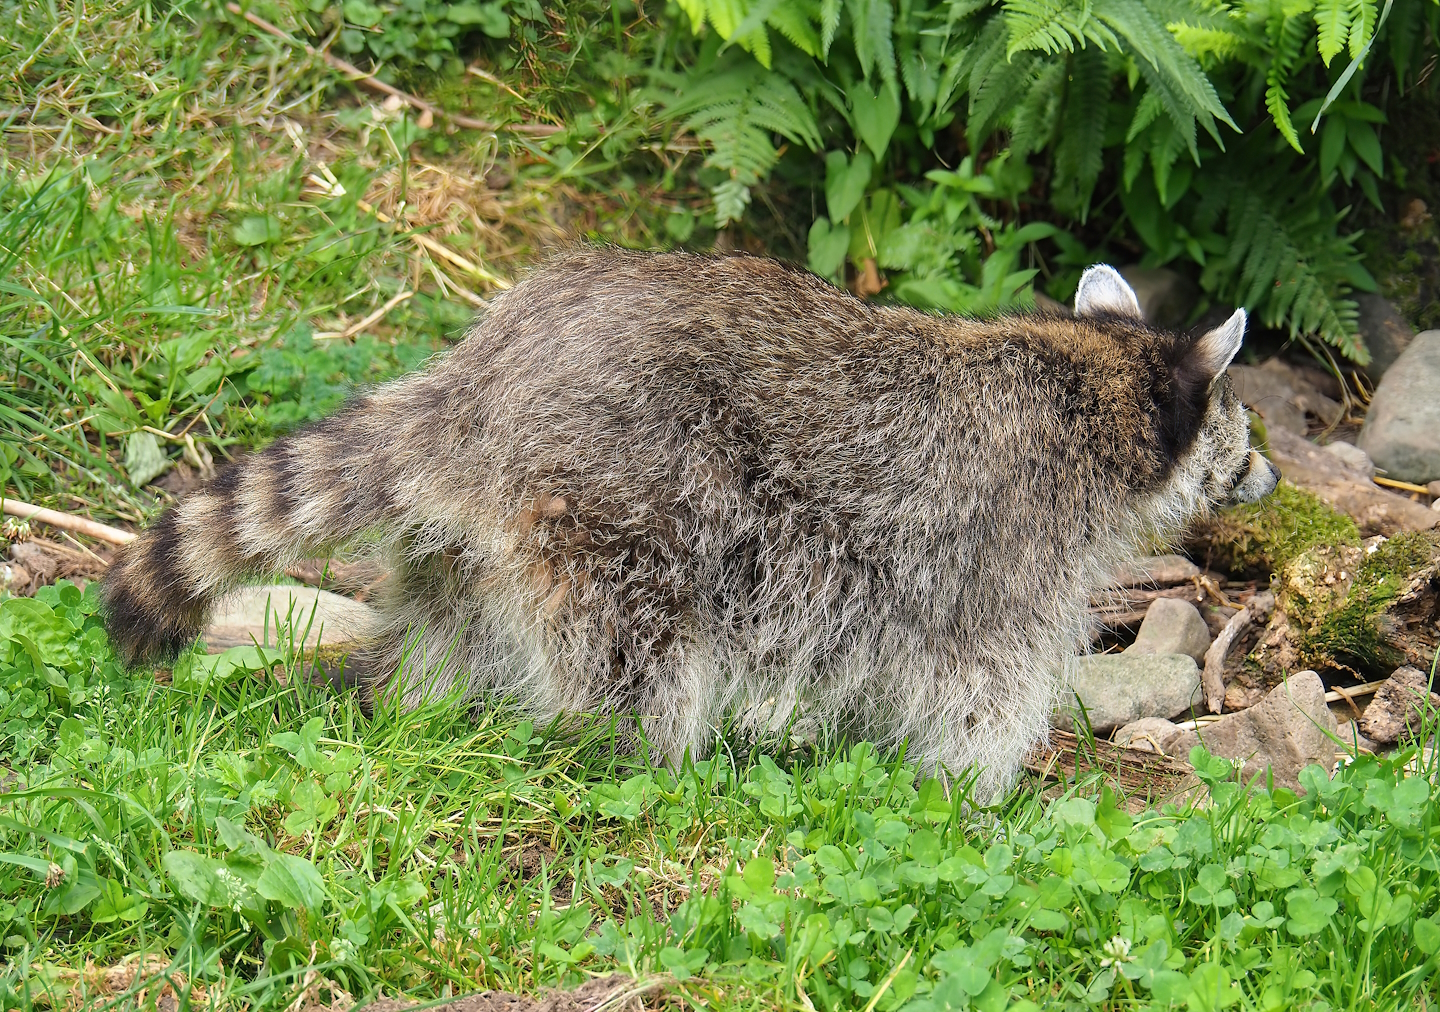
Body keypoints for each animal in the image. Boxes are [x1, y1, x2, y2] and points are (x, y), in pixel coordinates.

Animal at [102, 249, 1277, 798]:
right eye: (1239, 426)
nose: (1266, 474)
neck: (1096, 381)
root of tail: (475, 385)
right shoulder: (1007, 544)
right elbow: (983, 682)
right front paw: (970, 795)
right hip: (618, 505)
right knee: (644, 659)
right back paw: (633, 760)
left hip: (483, 538)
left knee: (452, 631)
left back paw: (417, 702)